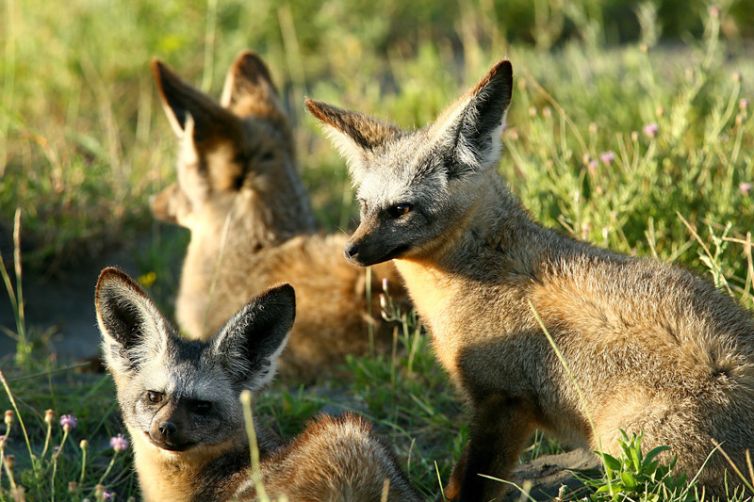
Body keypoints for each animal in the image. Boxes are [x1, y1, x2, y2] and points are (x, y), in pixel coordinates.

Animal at [306, 59, 754, 499]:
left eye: (400, 210)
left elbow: (468, 485)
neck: (485, 267)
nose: (351, 250)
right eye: (364, 206)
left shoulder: (503, 401)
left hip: (628, 453)